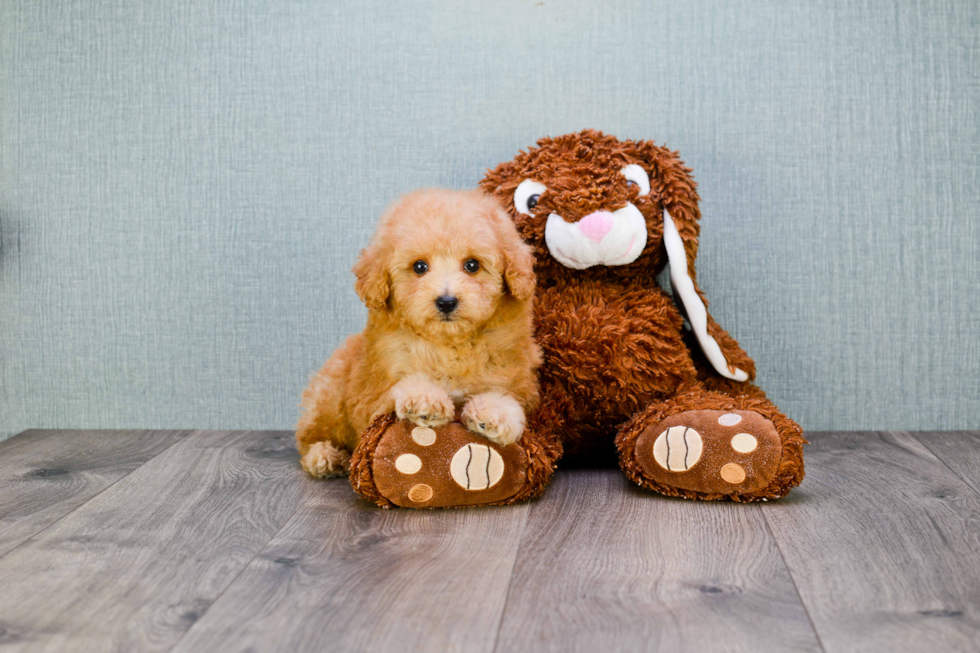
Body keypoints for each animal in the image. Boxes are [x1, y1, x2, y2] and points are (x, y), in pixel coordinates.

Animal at [298, 188, 544, 478]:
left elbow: (505, 396)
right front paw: (425, 400)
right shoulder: (373, 396)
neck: (449, 344)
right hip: (331, 392)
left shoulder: (515, 378)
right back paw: (326, 456)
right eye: (419, 267)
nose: (446, 301)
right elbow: (401, 387)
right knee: (310, 436)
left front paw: (494, 413)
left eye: (472, 265)